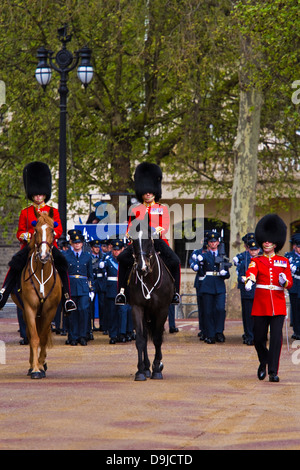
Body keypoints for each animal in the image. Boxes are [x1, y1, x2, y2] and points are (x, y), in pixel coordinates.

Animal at [11, 209, 61, 378]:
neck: (42, 272)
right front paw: (35, 369)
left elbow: (43, 337)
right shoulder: (30, 308)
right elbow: (34, 337)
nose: (44, 256)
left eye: (52, 230)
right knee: (31, 333)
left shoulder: (50, 310)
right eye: (36, 231)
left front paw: (40, 365)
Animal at [128, 231, 173, 382]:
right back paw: (146, 368)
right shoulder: (137, 307)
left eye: (148, 240)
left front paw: (157, 369)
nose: (142, 268)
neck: (149, 279)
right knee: (145, 335)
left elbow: (158, 339)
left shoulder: (162, 309)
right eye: (133, 241)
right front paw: (140, 371)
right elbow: (140, 339)